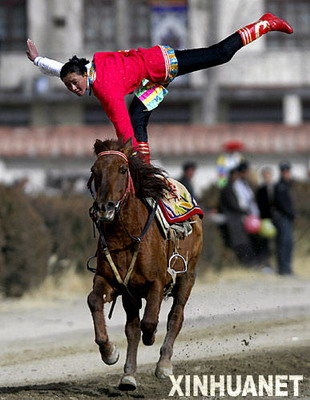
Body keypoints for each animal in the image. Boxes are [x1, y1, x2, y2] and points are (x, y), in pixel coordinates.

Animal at [87, 139, 203, 390]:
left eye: (122, 169)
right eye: (94, 170)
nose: (104, 208)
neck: (124, 237)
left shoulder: (157, 283)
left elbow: (150, 321)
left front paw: (152, 339)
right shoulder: (113, 282)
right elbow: (94, 301)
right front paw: (109, 351)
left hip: (187, 277)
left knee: (175, 317)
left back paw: (164, 364)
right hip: (130, 295)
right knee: (132, 328)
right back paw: (128, 376)